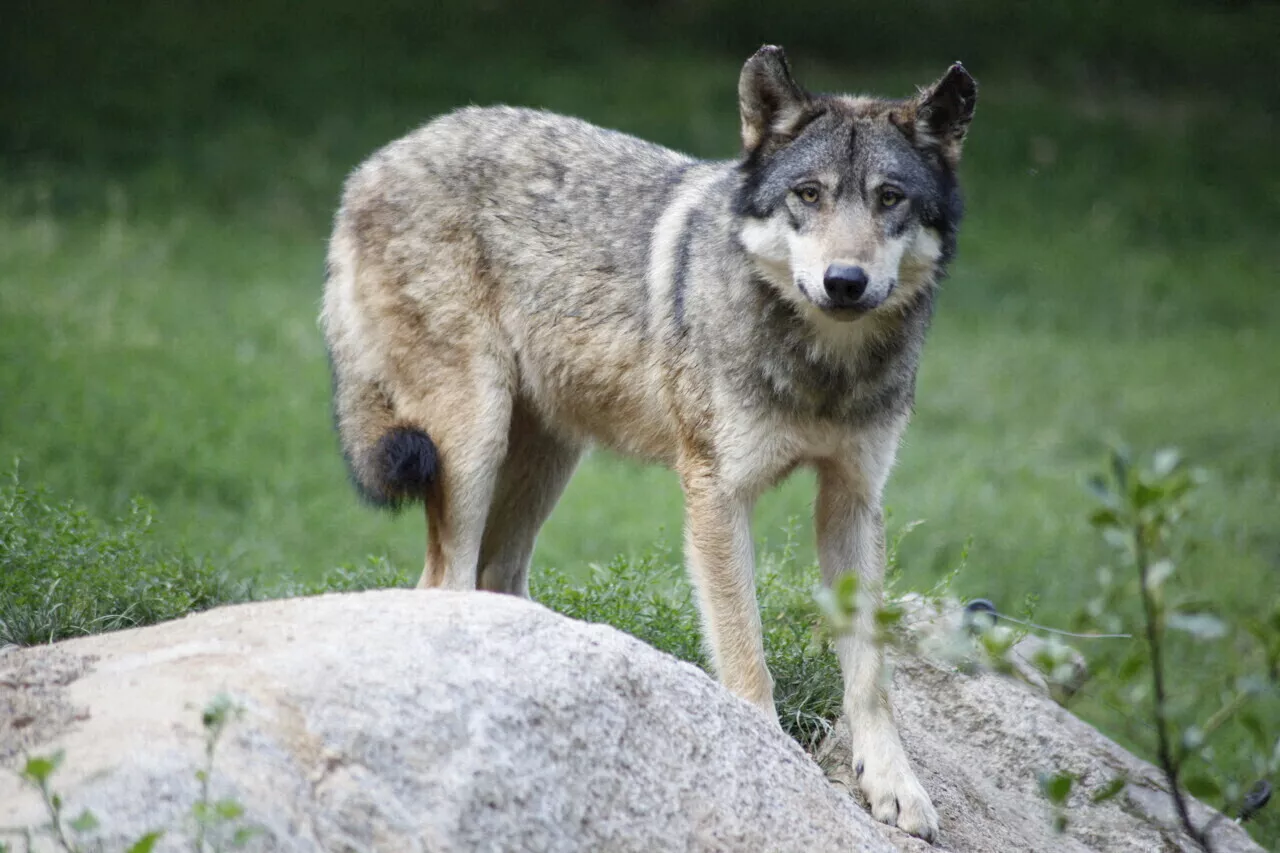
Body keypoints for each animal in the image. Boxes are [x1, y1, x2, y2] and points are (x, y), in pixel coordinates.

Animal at [322, 44, 977, 835]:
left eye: (889, 199)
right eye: (809, 195)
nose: (844, 281)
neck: (822, 367)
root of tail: (372, 163)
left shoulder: (853, 499)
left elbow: (871, 671)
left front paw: (893, 784)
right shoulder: (717, 495)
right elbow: (745, 652)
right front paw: (768, 762)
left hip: (545, 463)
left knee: (493, 581)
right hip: (470, 441)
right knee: (439, 583)